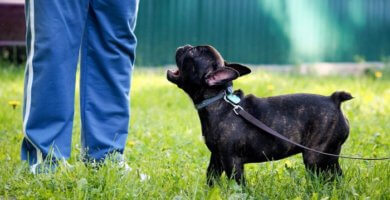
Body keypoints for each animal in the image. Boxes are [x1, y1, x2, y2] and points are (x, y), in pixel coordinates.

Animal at [168, 45, 354, 184]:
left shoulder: (231, 161)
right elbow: (211, 178)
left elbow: (238, 184)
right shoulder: (216, 157)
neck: (218, 99)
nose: (185, 46)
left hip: (314, 157)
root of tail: (334, 100)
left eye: (193, 52)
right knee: (336, 175)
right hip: (330, 155)